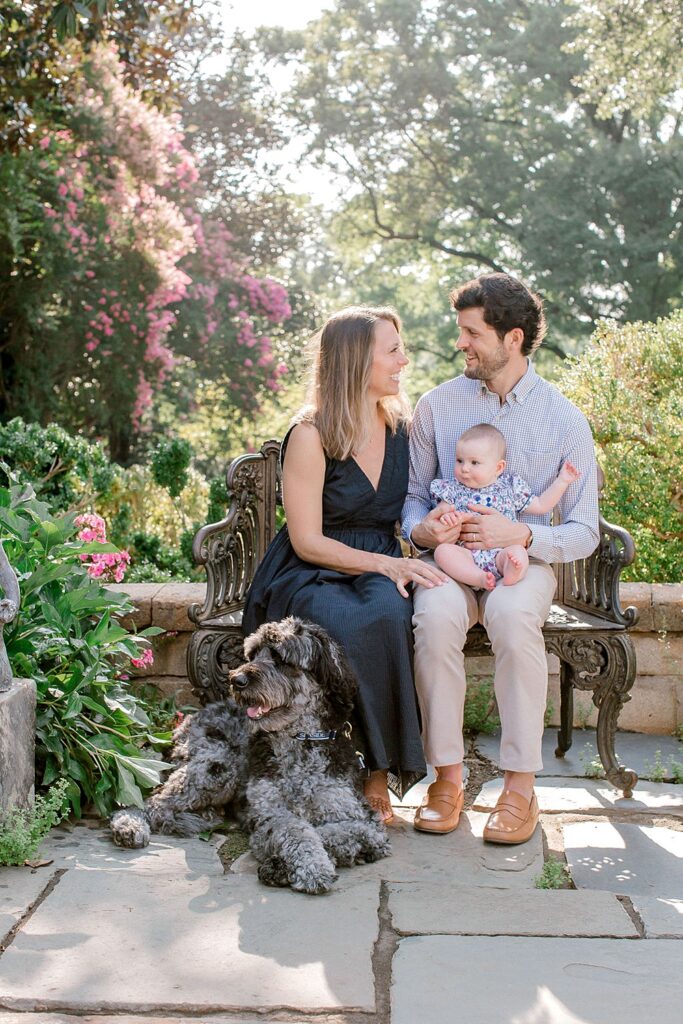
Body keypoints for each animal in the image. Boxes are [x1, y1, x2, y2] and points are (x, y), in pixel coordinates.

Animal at [111, 614, 389, 897]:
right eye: (253, 653)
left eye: (279, 656)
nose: (237, 680)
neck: (300, 742)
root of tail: (186, 722)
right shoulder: (270, 813)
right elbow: (298, 829)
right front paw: (313, 869)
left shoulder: (364, 819)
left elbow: (345, 832)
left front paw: (280, 867)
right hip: (218, 767)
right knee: (151, 802)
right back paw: (131, 826)